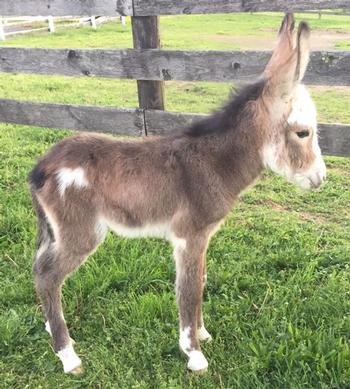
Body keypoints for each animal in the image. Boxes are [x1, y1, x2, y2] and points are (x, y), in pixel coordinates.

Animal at [30, 14, 326, 372]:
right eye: (303, 133)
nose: (320, 178)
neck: (214, 162)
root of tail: (44, 165)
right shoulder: (189, 236)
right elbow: (189, 290)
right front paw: (194, 354)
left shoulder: (203, 237)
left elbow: (200, 280)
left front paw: (203, 334)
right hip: (81, 232)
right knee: (48, 275)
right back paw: (68, 355)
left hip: (58, 231)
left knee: (39, 268)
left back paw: (51, 325)